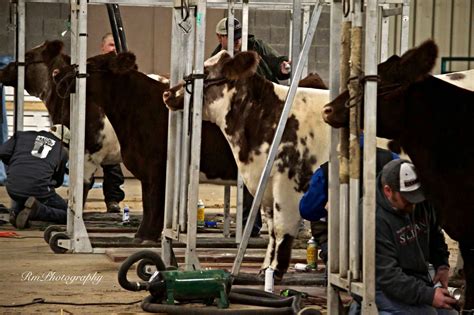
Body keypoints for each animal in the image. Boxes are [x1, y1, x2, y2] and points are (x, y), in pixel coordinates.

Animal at [165, 50, 332, 278]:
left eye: (205, 71)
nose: (167, 94)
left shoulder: (287, 185)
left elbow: (282, 227)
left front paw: (276, 270)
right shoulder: (266, 188)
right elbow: (272, 230)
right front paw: (265, 268)